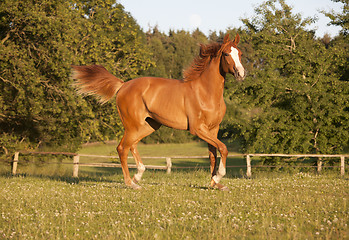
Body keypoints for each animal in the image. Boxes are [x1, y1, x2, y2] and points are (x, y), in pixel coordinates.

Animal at [71, 33, 245, 190]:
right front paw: (218, 177)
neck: (205, 92)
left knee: (132, 145)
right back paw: (131, 183)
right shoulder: (198, 129)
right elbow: (224, 148)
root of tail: (123, 85)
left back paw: (137, 176)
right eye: (226, 54)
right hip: (133, 125)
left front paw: (216, 184)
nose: (241, 74)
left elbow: (213, 155)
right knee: (122, 148)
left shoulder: (213, 129)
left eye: (240, 53)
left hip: (148, 126)